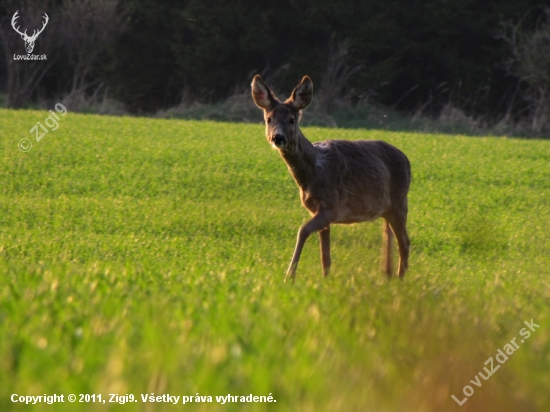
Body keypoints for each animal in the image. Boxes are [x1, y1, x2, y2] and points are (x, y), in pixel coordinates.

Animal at [252, 74, 412, 282]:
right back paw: (387, 274)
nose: (277, 137)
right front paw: (325, 278)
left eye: (292, 119)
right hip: (386, 207)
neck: (313, 173)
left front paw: (290, 275)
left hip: (400, 203)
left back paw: (400, 279)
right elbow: (324, 253)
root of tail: (407, 161)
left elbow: (303, 230)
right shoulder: (318, 210)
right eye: (268, 119)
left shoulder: (332, 206)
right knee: (389, 235)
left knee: (405, 241)